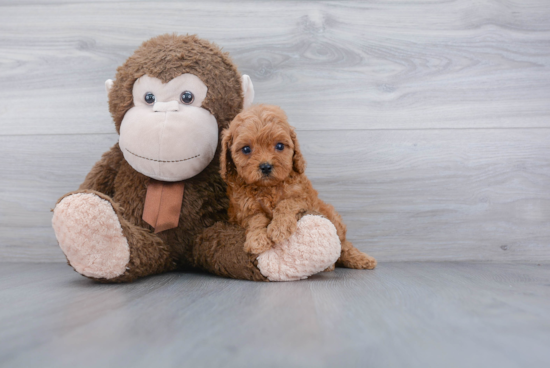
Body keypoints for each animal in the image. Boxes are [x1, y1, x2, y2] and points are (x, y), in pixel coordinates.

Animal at [221, 104, 380, 270]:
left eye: (279, 146)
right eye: (246, 149)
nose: (265, 166)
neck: (268, 187)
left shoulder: (304, 198)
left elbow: (286, 203)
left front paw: (279, 228)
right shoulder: (242, 209)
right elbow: (255, 219)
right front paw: (257, 239)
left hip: (331, 215)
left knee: (343, 245)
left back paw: (360, 259)